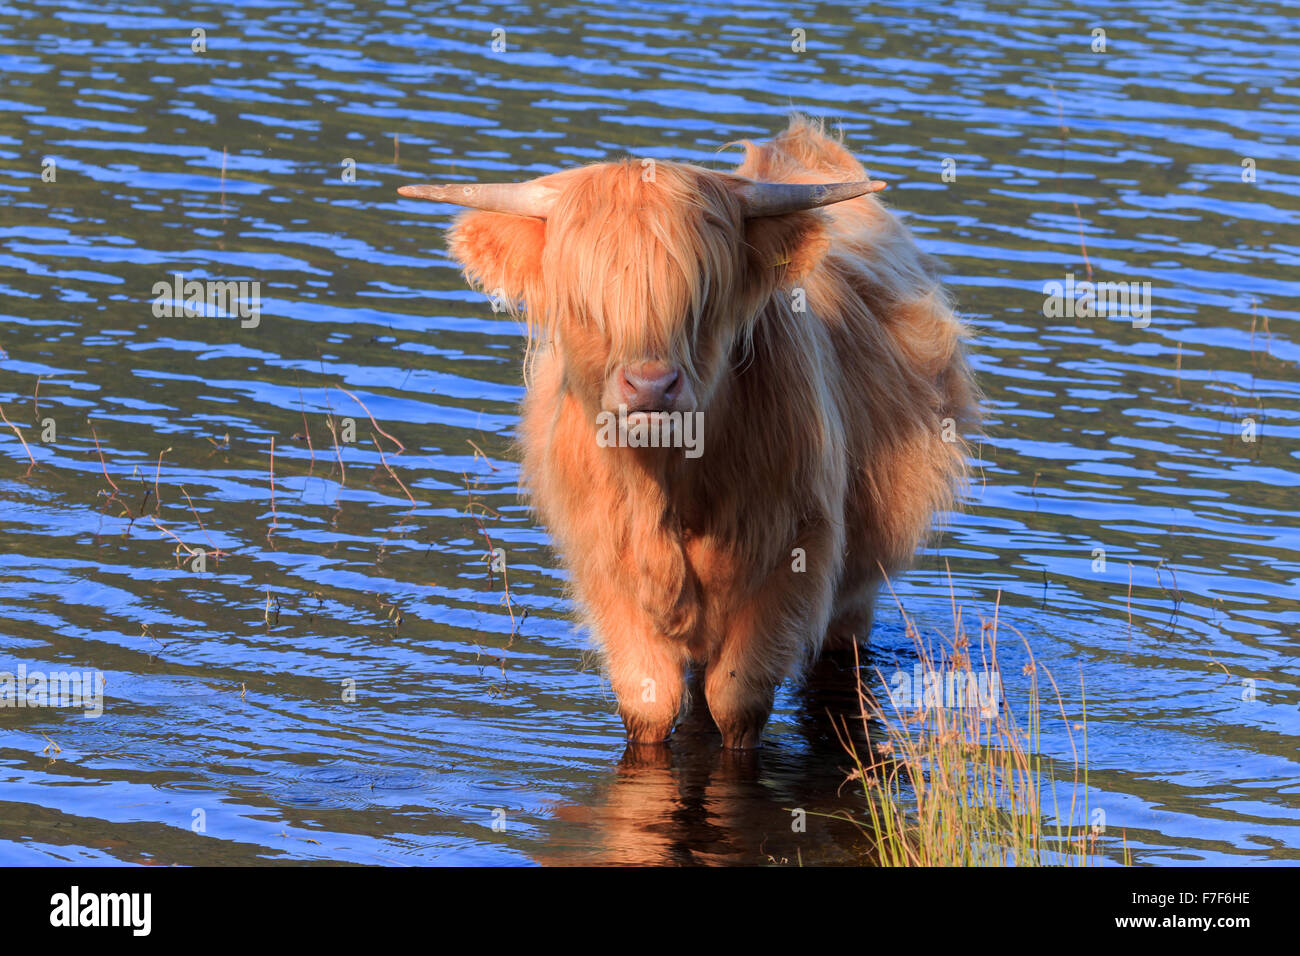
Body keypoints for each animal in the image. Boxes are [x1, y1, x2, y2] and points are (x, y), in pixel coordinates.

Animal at [399, 116, 980, 749]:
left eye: (701, 299)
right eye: (584, 303)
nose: (651, 385)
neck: (669, 484)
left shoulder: (796, 551)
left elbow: (737, 697)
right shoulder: (604, 561)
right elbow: (649, 700)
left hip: (862, 575)